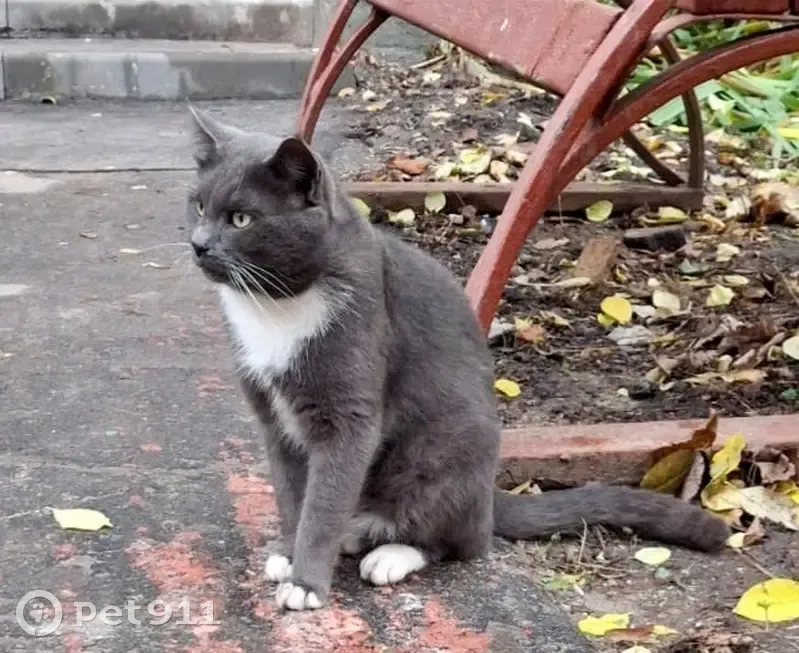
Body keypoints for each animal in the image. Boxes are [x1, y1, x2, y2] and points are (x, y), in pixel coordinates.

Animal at [185, 107, 730, 612]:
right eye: (198, 205)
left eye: (241, 219)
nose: (198, 244)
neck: (277, 307)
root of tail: (489, 494)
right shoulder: (273, 418)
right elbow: (290, 491)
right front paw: (286, 550)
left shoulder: (350, 410)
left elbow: (324, 501)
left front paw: (305, 582)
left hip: (447, 445)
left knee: (461, 541)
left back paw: (391, 553)